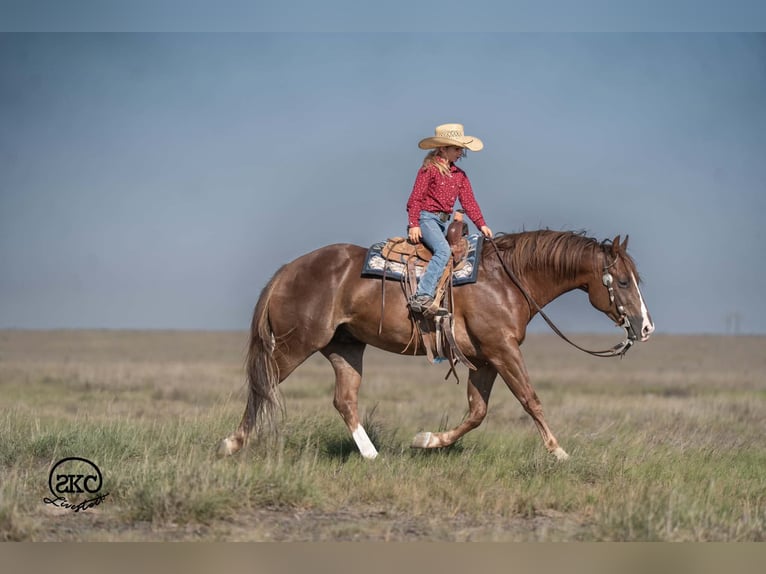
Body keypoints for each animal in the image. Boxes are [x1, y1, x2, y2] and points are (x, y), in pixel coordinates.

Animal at [218, 229, 654, 461]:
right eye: (623, 281)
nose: (646, 328)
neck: (507, 281)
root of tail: (287, 270)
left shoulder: (486, 359)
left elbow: (477, 412)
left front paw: (427, 440)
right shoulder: (503, 351)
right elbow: (531, 399)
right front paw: (559, 453)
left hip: (346, 348)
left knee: (345, 400)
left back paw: (373, 455)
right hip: (297, 343)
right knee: (264, 385)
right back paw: (232, 443)